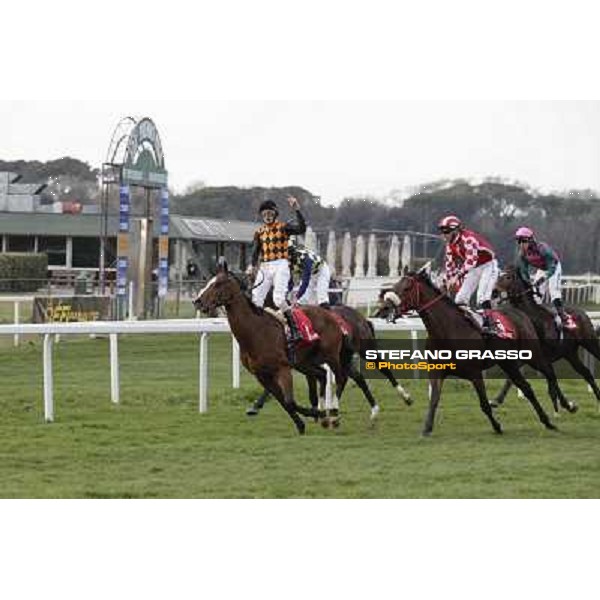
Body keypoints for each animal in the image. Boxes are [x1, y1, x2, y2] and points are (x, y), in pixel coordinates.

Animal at [192, 260, 352, 434]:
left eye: (218, 283)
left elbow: (289, 401)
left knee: (341, 377)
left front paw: (315, 414)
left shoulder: (283, 368)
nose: (197, 301)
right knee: (321, 374)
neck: (255, 332)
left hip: (331, 355)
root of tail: (330, 314)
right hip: (303, 362)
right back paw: (324, 413)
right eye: (210, 281)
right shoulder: (261, 374)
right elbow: (284, 401)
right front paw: (303, 422)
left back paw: (334, 415)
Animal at [492, 266, 600, 410]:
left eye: (508, 277)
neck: (531, 320)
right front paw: (496, 400)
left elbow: (550, 378)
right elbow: (514, 378)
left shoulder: (540, 356)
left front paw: (565, 404)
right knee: (586, 373)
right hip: (570, 354)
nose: (494, 292)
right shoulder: (528, 356)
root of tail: (582, 312)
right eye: (499, 275)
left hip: (590, 342)